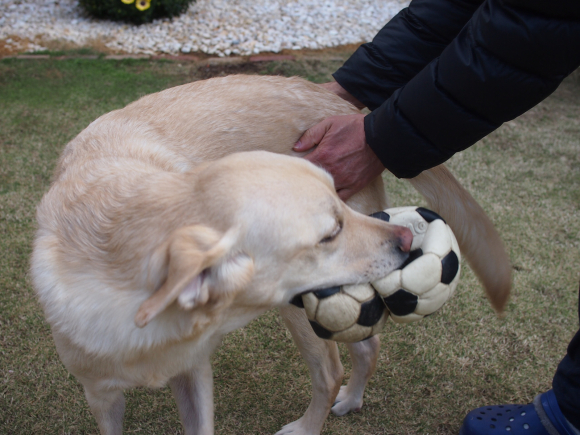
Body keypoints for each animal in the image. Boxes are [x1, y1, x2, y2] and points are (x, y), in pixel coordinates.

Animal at [31, 76, 510, 435]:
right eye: (329, 233)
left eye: (337, 207)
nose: (408, 239)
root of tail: (350, 112)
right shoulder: (102, 395)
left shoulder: (195, 373)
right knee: (367, 345)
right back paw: (353, 399)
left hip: (300, 307)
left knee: (330, 371)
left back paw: (310, 424)